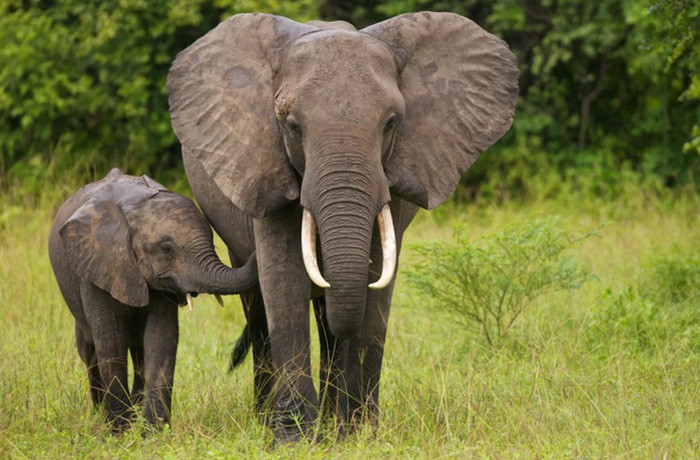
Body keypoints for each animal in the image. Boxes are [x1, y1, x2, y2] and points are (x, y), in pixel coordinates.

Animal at [48, 168, 258, 432]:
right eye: (167, 249)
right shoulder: (96, 267)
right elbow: (111, 341)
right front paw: (119, 432)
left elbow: (161, 339)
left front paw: (153, 432)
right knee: (89, 351)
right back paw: (99, 414)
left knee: (139, 353)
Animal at [167, 12, 518, 442]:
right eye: (291, 125)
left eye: (391, 123)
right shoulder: (264, 162)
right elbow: (284, 281)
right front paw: (293, 440)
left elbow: (376, 283)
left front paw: (360, 434)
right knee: (260, 310)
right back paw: (271, 421)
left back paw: (333, 424)